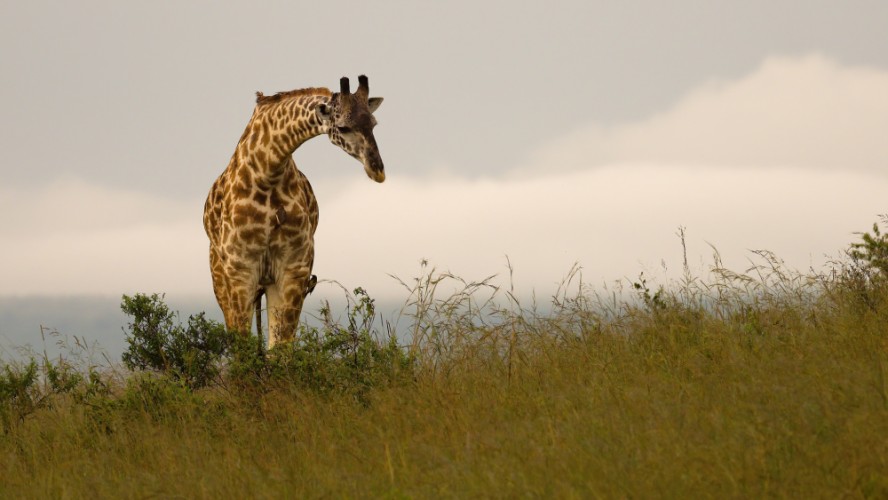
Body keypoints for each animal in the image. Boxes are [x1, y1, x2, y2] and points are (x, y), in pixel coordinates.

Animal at [205, 75, 386, 348]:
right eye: (343, 127)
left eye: (374, 124)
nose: (377, 170)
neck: (268, 172)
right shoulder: (241, 271)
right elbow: (243, 348)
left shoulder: (294, 269)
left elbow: (279, 348)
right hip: (220, 278)